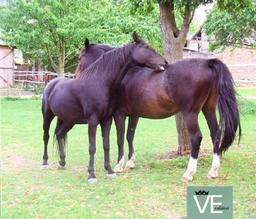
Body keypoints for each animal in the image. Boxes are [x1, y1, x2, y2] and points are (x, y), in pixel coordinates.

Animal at [41, 33, 167, 183]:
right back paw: (45, 162)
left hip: (68, 120)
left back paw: (62, 162)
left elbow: (107, 144)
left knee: (60, 134)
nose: (164, 63)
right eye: (146, 47)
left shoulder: (107, 120)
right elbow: (94, 146)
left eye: (80, 57)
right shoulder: (96, 120)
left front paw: (110, 170)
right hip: (48, 116)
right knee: (46, 136)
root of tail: (52, 83)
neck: (100, 82)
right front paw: (92, 175)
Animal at [77, 40, 241, 182]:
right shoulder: (134, 115)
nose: (77, 76)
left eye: (81, 56)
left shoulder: (119, 114)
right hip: (209, 109)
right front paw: (130, 162)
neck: (125, 75)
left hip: (190, 113)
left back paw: (189, 173)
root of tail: (207, 62)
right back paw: (213, 171)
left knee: (196, 137)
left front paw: (119, 165)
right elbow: (130, 136)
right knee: (215, 134)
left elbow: (120, 138)